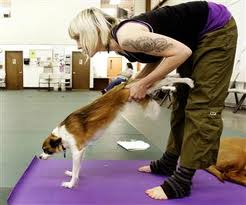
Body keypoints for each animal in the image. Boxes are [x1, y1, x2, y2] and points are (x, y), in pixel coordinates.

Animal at [39, 75, 194, 189]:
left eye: (46, 150)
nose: (39, 157)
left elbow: (76, 168)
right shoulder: (82, 151)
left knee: (166, 79)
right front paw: (74, 174)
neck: (62, 135)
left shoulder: (77, 151)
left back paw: (187, 81)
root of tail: (125, 84)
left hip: (146, 87)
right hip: (143, 89)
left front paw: (71, 183)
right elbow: (78, 167)